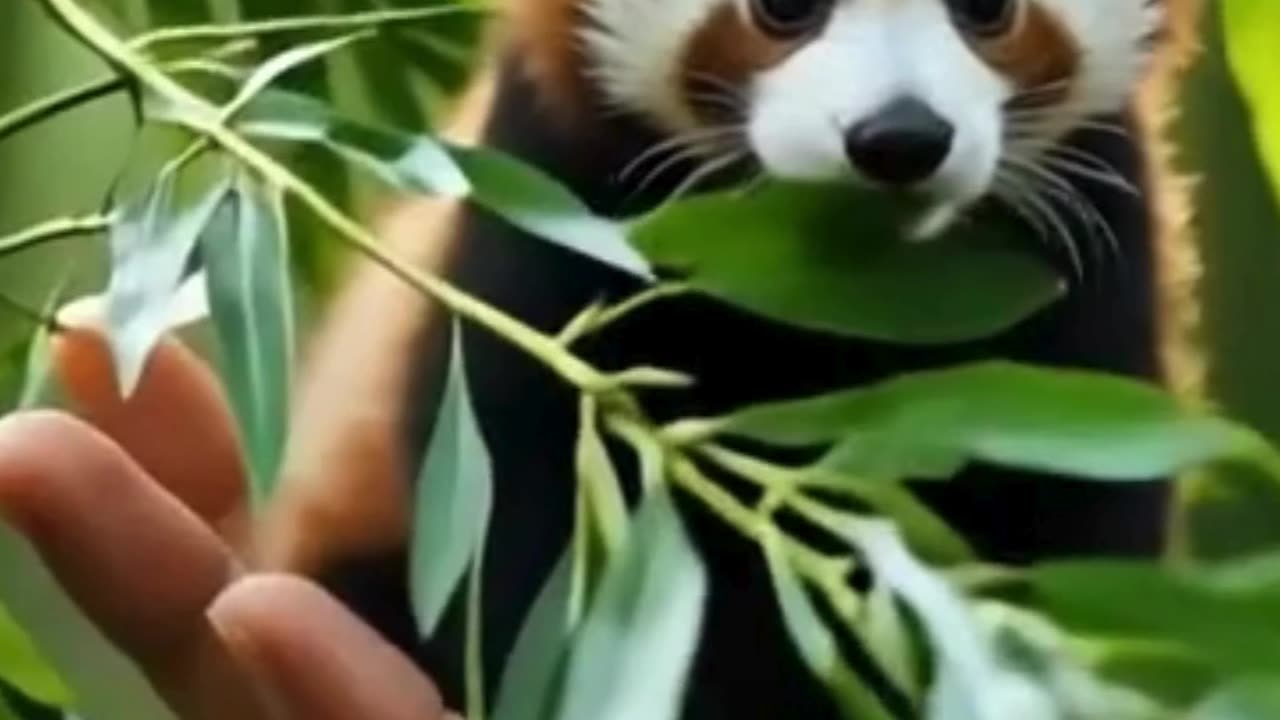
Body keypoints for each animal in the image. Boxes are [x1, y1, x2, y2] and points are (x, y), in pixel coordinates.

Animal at [257, 1, 1198, 712]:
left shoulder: (1092, 279)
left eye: (989, 10)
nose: (899, 136)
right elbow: (527, 527)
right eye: (782, 9)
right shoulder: (546, 222)